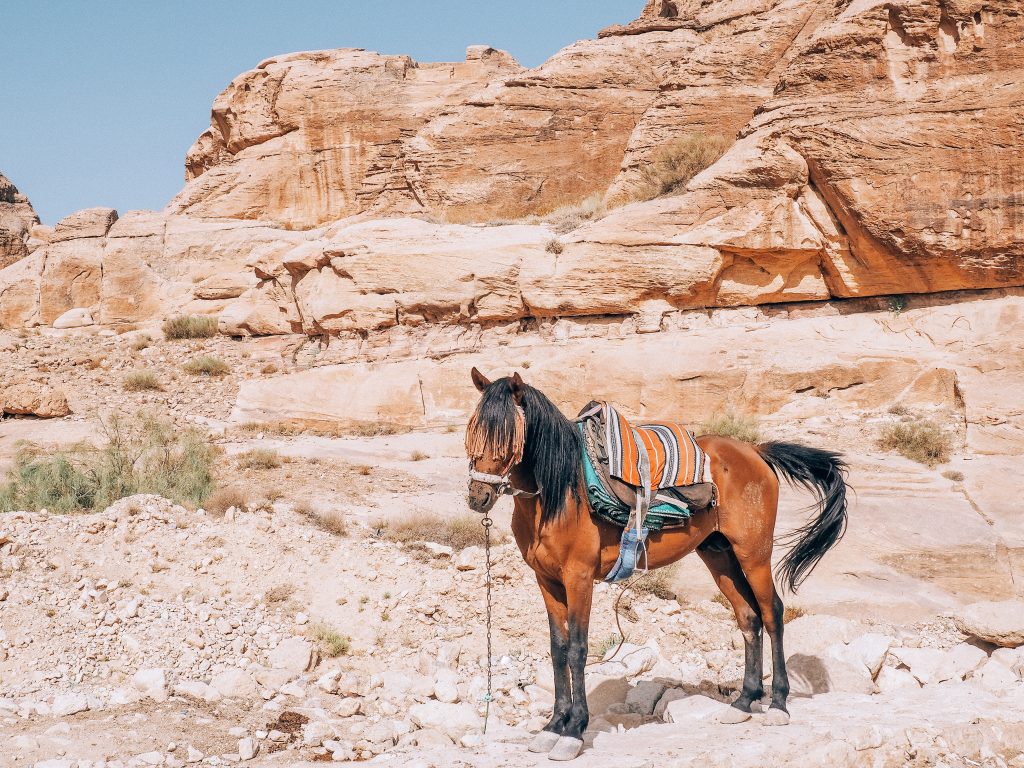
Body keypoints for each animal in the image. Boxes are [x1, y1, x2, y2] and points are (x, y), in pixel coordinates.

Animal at [464, 370, 847, 765]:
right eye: (473, 427)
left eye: (508, 435)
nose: (478, 497)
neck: (560, 494)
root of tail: (755, 451)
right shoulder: (547, 581)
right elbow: (558, 650)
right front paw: (553, 726)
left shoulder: (579, 578)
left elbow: (578, 650)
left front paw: (573, 731)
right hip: (719, 556)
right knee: (748, 617)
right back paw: (743, 703)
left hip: (754, 555)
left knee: (772, 614)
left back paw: (777, 706)